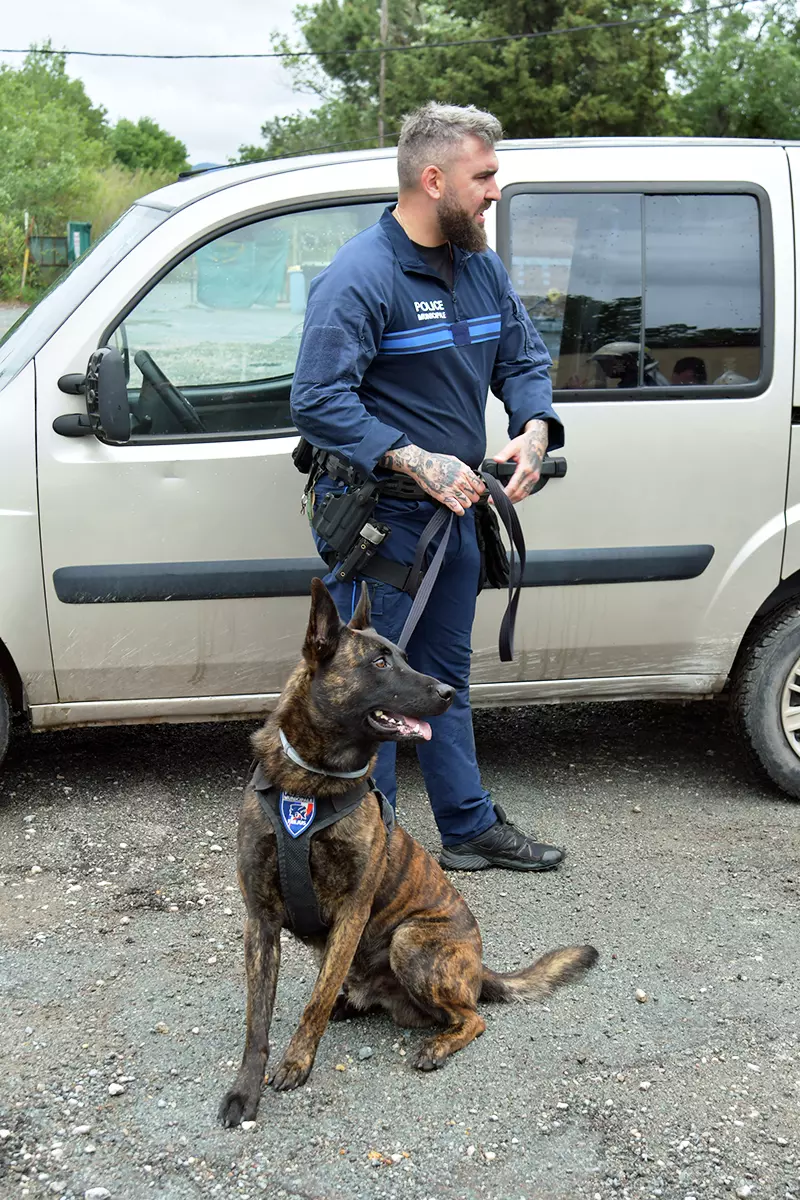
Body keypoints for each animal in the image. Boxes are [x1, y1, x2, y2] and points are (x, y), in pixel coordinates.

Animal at [217, 580, 594, 1123]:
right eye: (379, 662)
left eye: (404, 658)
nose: (449, 692)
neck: (311, 781)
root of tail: (478, 968)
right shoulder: (260, 920)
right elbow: (257, 1021)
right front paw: (246, 1089)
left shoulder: (352, 911)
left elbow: (313, 1003)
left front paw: (297, 1062)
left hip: (410, 940)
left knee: (472, 1018)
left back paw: (436, 1043)